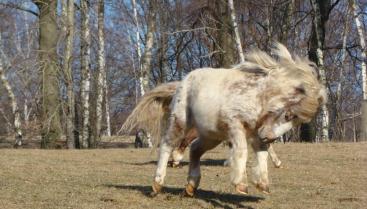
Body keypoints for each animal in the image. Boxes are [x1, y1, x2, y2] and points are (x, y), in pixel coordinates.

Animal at [121, 43, 328, 197]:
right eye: (288, 115)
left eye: (297, 121)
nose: (270, 136)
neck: (258, 97)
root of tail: (183, 81)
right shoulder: (235, 125)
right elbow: (242, 150)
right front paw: (241, 184)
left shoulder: (256, 133)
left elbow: (262, 153)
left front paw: (263, 184)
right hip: (181, 122)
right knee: (167, 146)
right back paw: (157, 184)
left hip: (211, 135)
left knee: (194, 149)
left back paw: (191, 187)